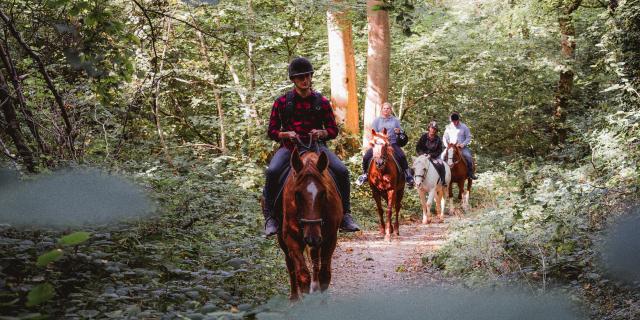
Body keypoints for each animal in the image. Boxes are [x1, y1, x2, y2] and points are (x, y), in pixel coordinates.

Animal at [276, 148, 342, 300]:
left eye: (323, 193)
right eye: (297, 194)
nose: (312, 237)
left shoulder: (330, 238)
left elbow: (325, 275)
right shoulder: (291, 238)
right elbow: (302, 275)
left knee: (314, 258)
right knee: (290, 264)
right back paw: (294, 298)